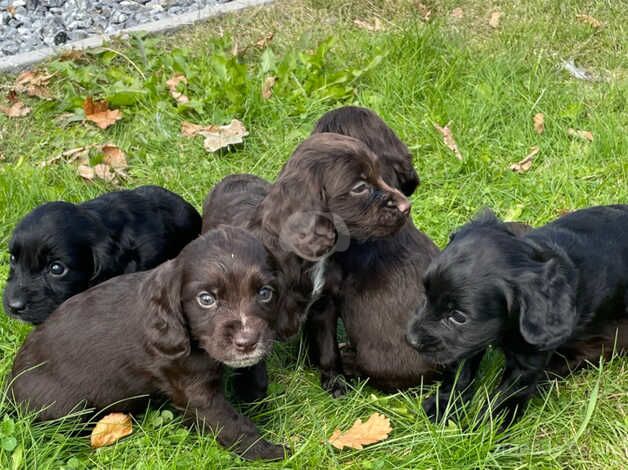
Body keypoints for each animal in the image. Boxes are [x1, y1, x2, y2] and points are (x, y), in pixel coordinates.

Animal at [7, 226, 288, 460]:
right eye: (206, 299)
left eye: (265, 293)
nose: (247, 342)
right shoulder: (194, 389)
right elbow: (232, 424)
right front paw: (268, 451)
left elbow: (255, 373)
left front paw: (255, 399)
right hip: (66, 408)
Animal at [408, 206, 628, 426]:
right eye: (425, 293)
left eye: (458, 317)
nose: (411, 340)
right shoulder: (467, 342)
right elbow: (461, 370)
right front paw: (443, 405)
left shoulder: (528, 359)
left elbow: (507, 394)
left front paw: (487, 427)